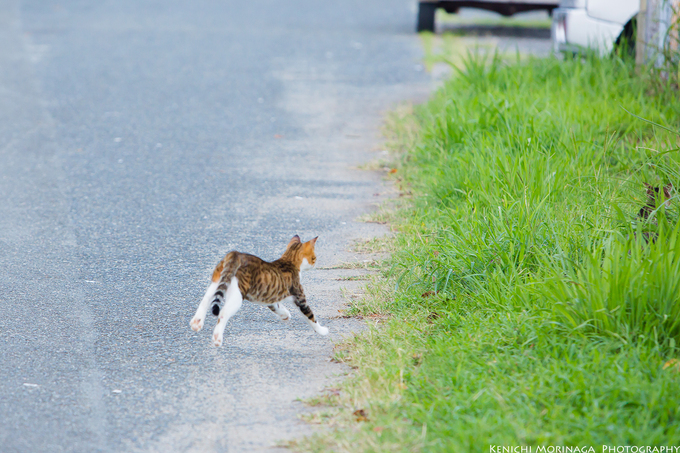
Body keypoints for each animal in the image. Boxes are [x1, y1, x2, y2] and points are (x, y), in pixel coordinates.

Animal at [190, 233, 328, 346]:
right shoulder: (299, 297)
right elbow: (311, 316)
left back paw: (196, 322)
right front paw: (322, 331)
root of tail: (236, 254)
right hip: (237, 294)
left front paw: (285, 315)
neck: (289, 261)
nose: (315, 263)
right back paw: (217, 338)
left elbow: (278, 307)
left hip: (218, 282)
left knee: (205, 299)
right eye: (314, 257)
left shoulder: (270, 298)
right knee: (223, 312)